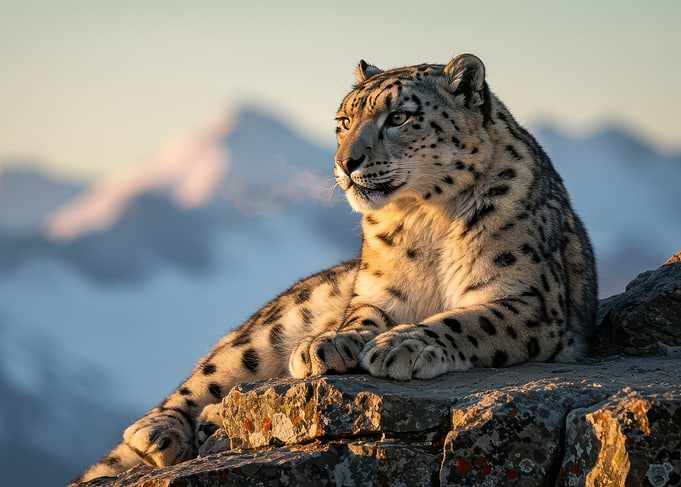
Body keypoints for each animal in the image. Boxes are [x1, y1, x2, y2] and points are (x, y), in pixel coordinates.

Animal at [74, 53, 597, 483]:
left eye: (399, 117)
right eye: (343, 121)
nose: (346, 162)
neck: (426, 219)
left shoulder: (529, 298)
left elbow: (467, 319)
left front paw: (402, 346)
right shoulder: (380, 292)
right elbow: (361, 316)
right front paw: (327, 345)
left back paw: (209, 424)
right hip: (267, 330)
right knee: (203, 378)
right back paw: (162, 432)